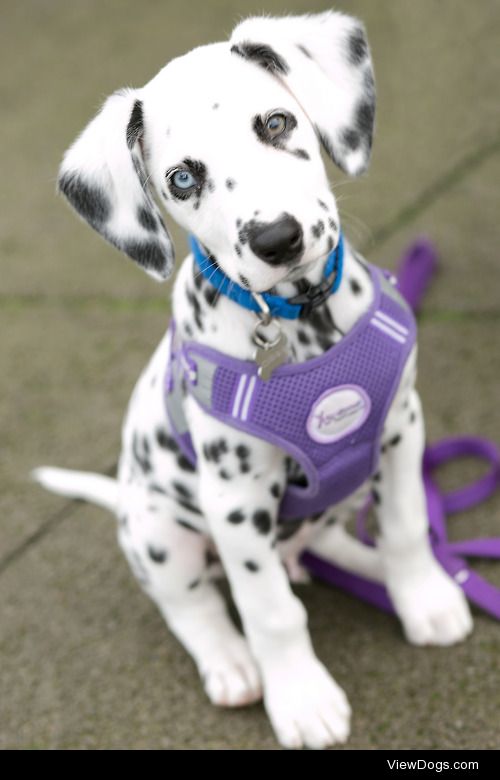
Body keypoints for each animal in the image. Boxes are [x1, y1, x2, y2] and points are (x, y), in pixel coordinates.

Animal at [35, 7, 472, 748]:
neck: (303, 320)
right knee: (194, 607)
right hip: (160, 534)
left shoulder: (399, 429)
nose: (277, 240)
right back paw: (234, 665)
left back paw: (382, 567)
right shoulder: (236, 502)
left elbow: (408, 525)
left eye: (275, 123)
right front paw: (301, 700)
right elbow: (271, 612)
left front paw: (425, 598)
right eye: (183, 180)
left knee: (332, 539)